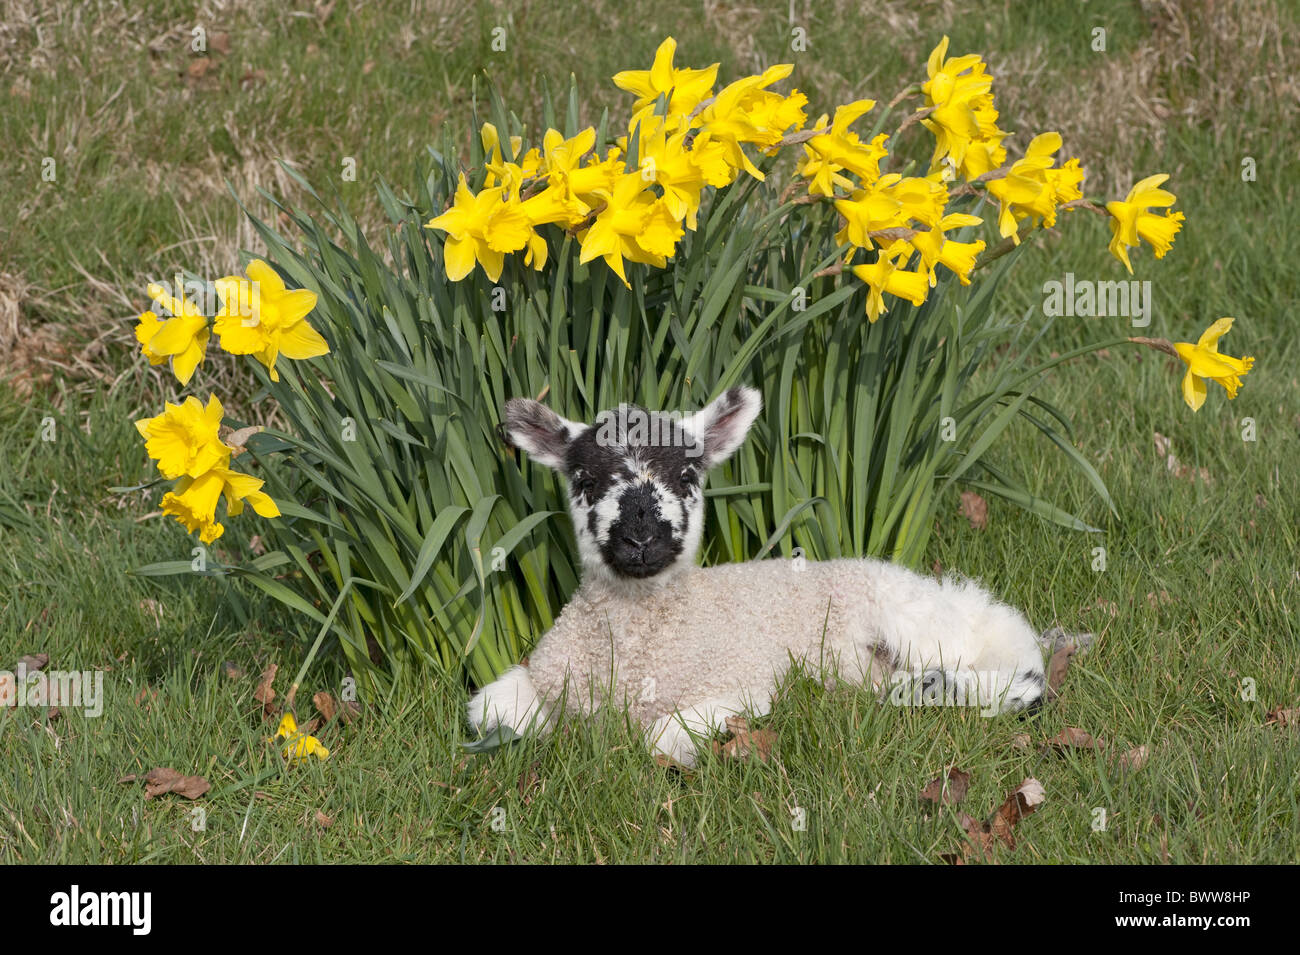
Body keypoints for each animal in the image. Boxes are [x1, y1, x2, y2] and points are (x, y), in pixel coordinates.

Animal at [467, 386, 1050, 766]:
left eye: (687, 475)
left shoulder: (742, 685)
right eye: (585, 480)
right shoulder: (548, 675)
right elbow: (485, 709)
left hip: (912, 617)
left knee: (1020, 674)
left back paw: (938, 687)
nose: (641, 538)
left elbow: (658, 739)